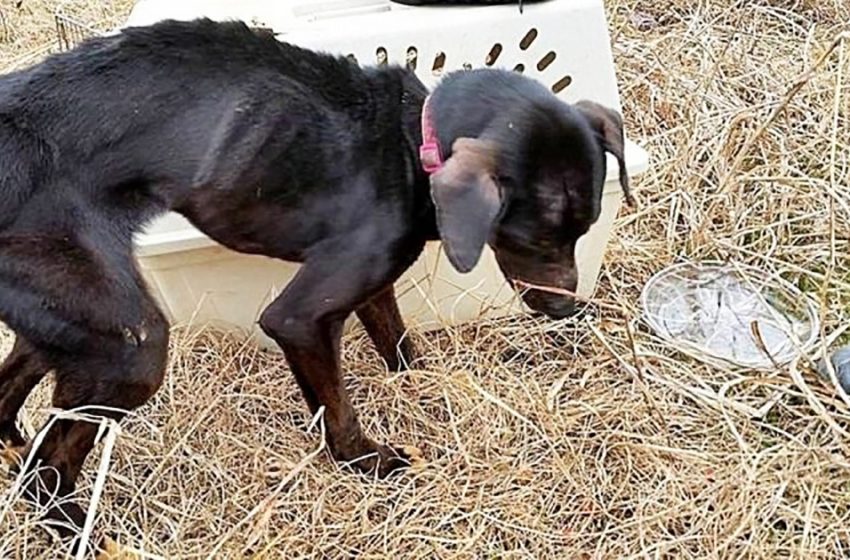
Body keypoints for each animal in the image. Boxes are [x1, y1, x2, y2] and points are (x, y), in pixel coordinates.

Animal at [0, 18, 628, 548]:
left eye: (584, 227)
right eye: (537, 238)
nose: (568, 309)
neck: (410, 143)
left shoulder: (371, 283)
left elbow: (397, 342)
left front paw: (419, 387)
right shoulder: (300, 319)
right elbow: (339, 412)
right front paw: (373, 464)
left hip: (73, 315)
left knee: (12, 397)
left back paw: (13, 448)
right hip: (129, 346)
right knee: (45, 471)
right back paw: (82, 534)